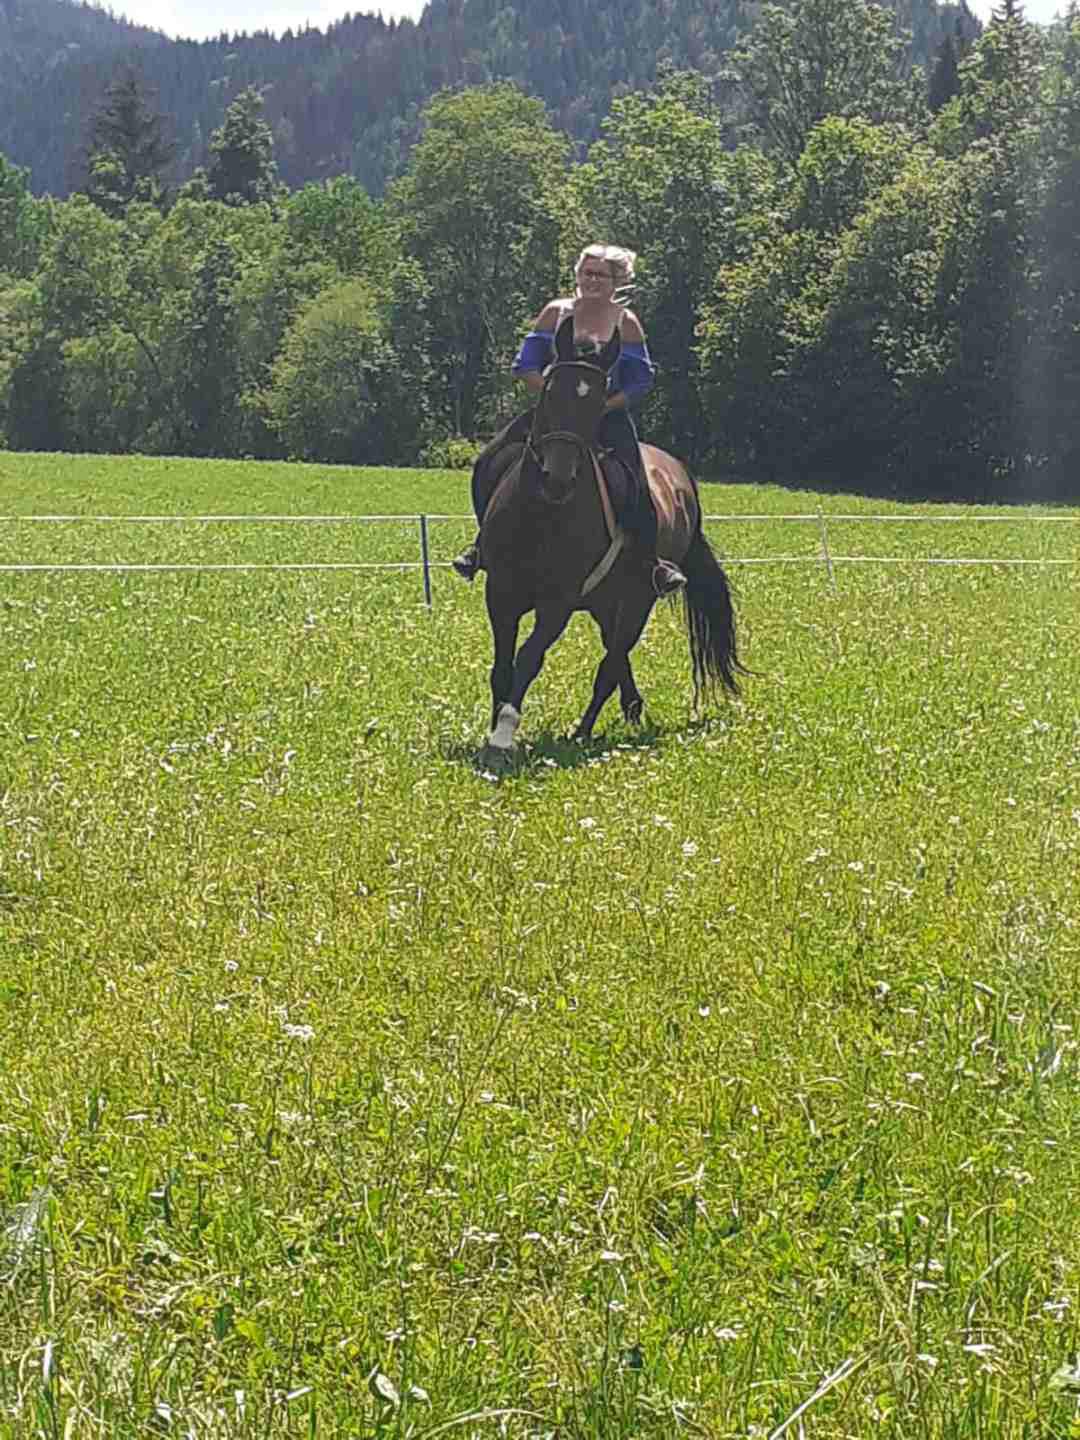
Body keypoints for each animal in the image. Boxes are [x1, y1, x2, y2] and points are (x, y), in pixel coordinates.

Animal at [478, 313, 743, 766]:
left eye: (598, 401)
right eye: (550, 391)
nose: (557, 478)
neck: (540, 516)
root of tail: (680, 475)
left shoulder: (557, 603)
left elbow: (528, 659)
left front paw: (504, 735)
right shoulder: (501, 593)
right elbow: (502, 667)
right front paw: (496, 727)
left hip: (639, 598)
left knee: (611, 661)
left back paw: (584, 731)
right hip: (605, 603)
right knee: (615, 655)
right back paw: (630, 708)